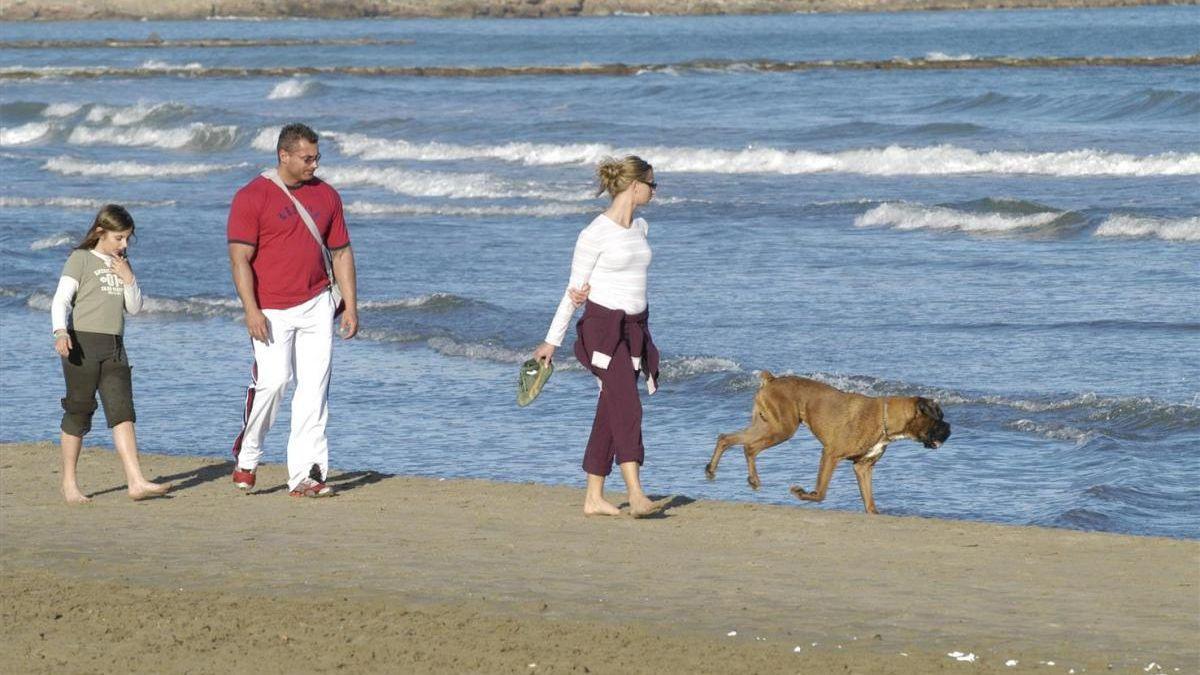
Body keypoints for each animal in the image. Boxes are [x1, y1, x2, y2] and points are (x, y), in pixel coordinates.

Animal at [700, 372, 945, 509]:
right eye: (939, 418)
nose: (949, 430)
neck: (885, 419)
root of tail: (772, 379)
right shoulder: (830, 454)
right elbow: (821, 493)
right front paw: (801, 493)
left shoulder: (863, 467)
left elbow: (870, 502)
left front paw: (873, 512)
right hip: (782, 429)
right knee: (750, 448)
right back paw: (753, 479)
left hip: (766, 425)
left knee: (727, 439)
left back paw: (713, 470)